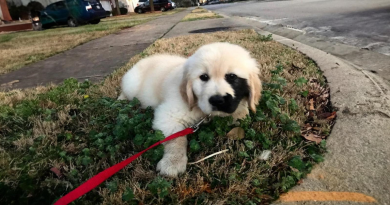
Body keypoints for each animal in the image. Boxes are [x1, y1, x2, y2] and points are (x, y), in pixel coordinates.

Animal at [117, 42, 260, 177]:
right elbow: (176, 139)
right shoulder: (167, 116)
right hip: (131, 84)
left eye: (232, 76)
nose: (217, 100)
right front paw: (173, 162)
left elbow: (241, 113)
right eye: (204, 77)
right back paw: (120, 100)